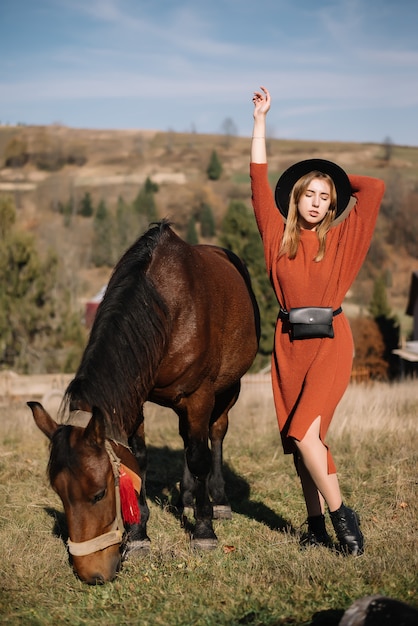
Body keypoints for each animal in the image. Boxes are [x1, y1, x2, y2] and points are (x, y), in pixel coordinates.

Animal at [28, 219, 258, 580]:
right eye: (58, 491)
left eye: (99, 493)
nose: (90, 572)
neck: (166, 307)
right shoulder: (136, 400)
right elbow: (140, 459)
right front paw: (138, 536)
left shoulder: (200, 395)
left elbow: (200, 457)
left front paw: (204, 530)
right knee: (188, 438)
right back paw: (187, 497)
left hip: (228, 389)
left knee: (214, 435)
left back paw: (218, 500)